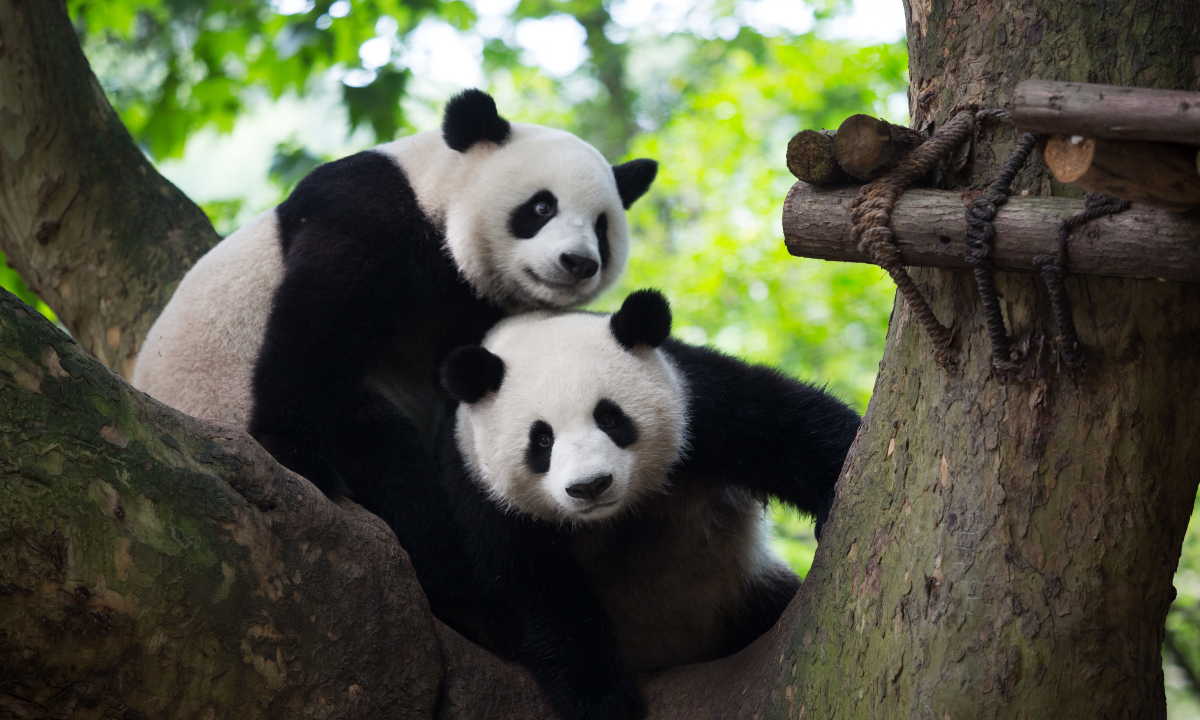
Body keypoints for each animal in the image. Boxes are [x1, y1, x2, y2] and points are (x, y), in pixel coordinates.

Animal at [131, 89, 658, 611]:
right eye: (542, 207)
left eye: (602, 227)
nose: (579, 262)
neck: (435, 194)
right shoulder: (365, 215)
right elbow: (318, 323)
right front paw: (298, 455)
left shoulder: (466, 304)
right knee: (380, 449)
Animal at [438, 289, 861, 720]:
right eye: (541, 439)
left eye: (609, 417)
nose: (591, 486)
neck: (616, 515)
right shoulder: (484, 495)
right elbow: (538, 593)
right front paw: (601, 700)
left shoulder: (693, 401)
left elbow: (785, 427)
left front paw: (834, 491)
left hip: (742, 589)